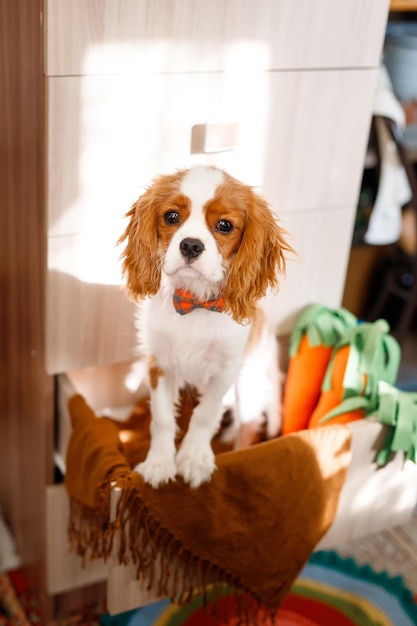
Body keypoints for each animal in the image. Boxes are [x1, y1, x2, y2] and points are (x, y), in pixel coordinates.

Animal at [118, 166, 290, 488]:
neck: (194, 302)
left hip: (248, 383)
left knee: (249, 425)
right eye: (172, 217)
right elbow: (162, 418)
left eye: (224, 225)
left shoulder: (226, 370)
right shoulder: (160, 363)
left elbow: (205, 414)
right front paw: (159, 463)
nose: (190, 245)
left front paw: (194, 459)